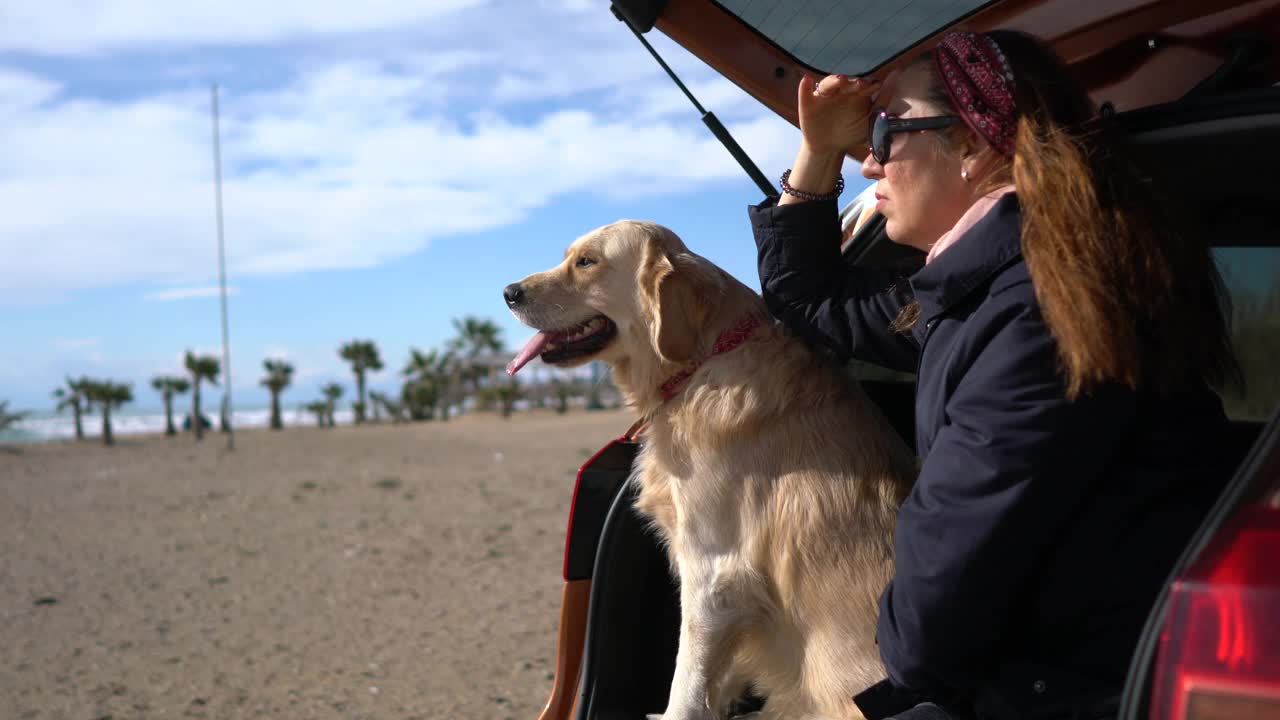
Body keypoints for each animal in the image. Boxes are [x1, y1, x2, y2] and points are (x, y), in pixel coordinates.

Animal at [504, 220, 916, 717]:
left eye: (586, 261)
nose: (509, 292)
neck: (703, 362)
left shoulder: (714, 572)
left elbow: (687, 680)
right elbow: (714, 675)